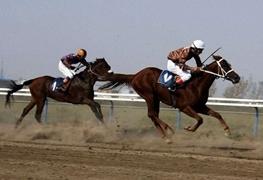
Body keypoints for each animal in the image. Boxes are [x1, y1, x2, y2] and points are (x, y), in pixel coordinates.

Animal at [99, 55, 241, 139]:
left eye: (228, 64)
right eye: (225, 65)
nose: (237, 78)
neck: (196, 84)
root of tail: (135, 75)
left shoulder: (199, 106)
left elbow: (217, 114)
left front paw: (227, 131)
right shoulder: (184, 107)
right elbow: (200, 119)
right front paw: (189, 128)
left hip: (155, 98)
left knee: (153, 115)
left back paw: (165, 135)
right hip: (149, 96)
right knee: (152, 114)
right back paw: (169, 130)